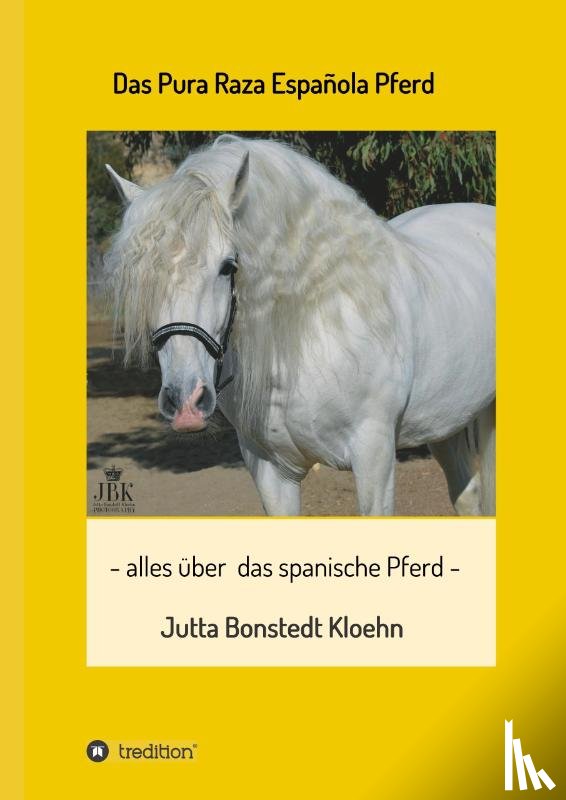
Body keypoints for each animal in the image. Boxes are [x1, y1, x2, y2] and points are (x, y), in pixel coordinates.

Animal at [105, 134, 495, 516]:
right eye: (143, 278)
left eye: (228, 266)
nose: (185, 403)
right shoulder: (269, 471)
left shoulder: (375, 456)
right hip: (445, 421)